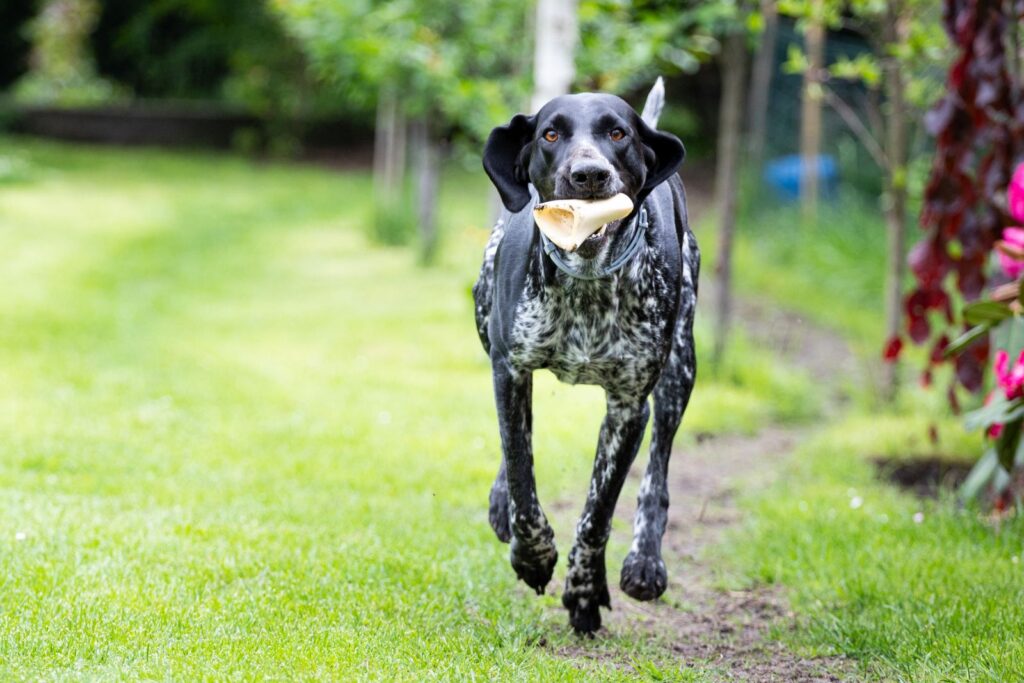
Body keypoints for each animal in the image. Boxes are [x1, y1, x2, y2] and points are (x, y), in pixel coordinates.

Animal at [473, 83, 700, 634]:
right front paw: (532, 555)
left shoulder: (628, 408)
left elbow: (599, 510)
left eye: (617, 133)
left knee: (657, 472)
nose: (589, 175)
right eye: (551, 134)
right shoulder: (510, 371)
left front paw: (583, 588)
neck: (588, 282)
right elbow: (521, 470)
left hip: (679, 371)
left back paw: (645, 560)